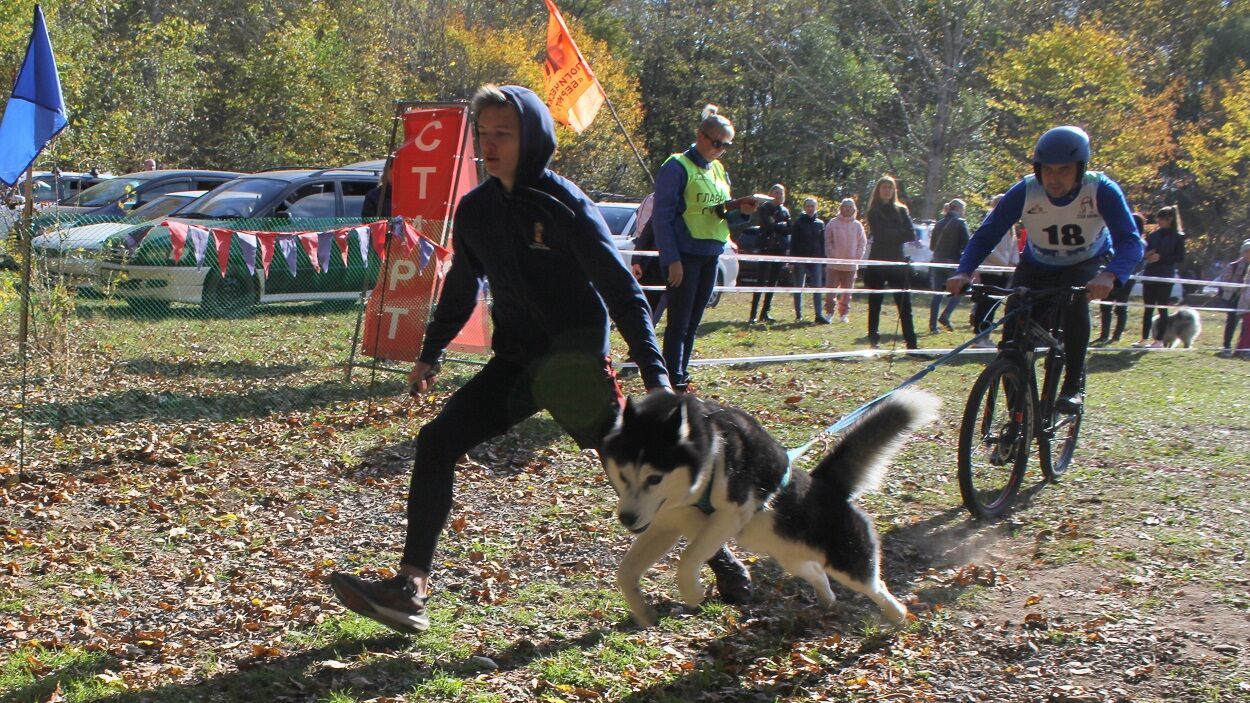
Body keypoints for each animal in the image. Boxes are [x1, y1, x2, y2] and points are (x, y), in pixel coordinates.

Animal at [602, 387, 940, 622]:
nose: (626, 518)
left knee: (876, 586)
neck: (710, 450)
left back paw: (897, 615)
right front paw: (643, 611)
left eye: (654, 478)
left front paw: (692, 592)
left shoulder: (731, 513)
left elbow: (688, 559)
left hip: (849, 564)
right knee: (817, 573)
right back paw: (827, 600)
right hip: (792, 557)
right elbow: (625, 572)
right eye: (623, 474)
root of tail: (827, 485)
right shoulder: (665, 524)